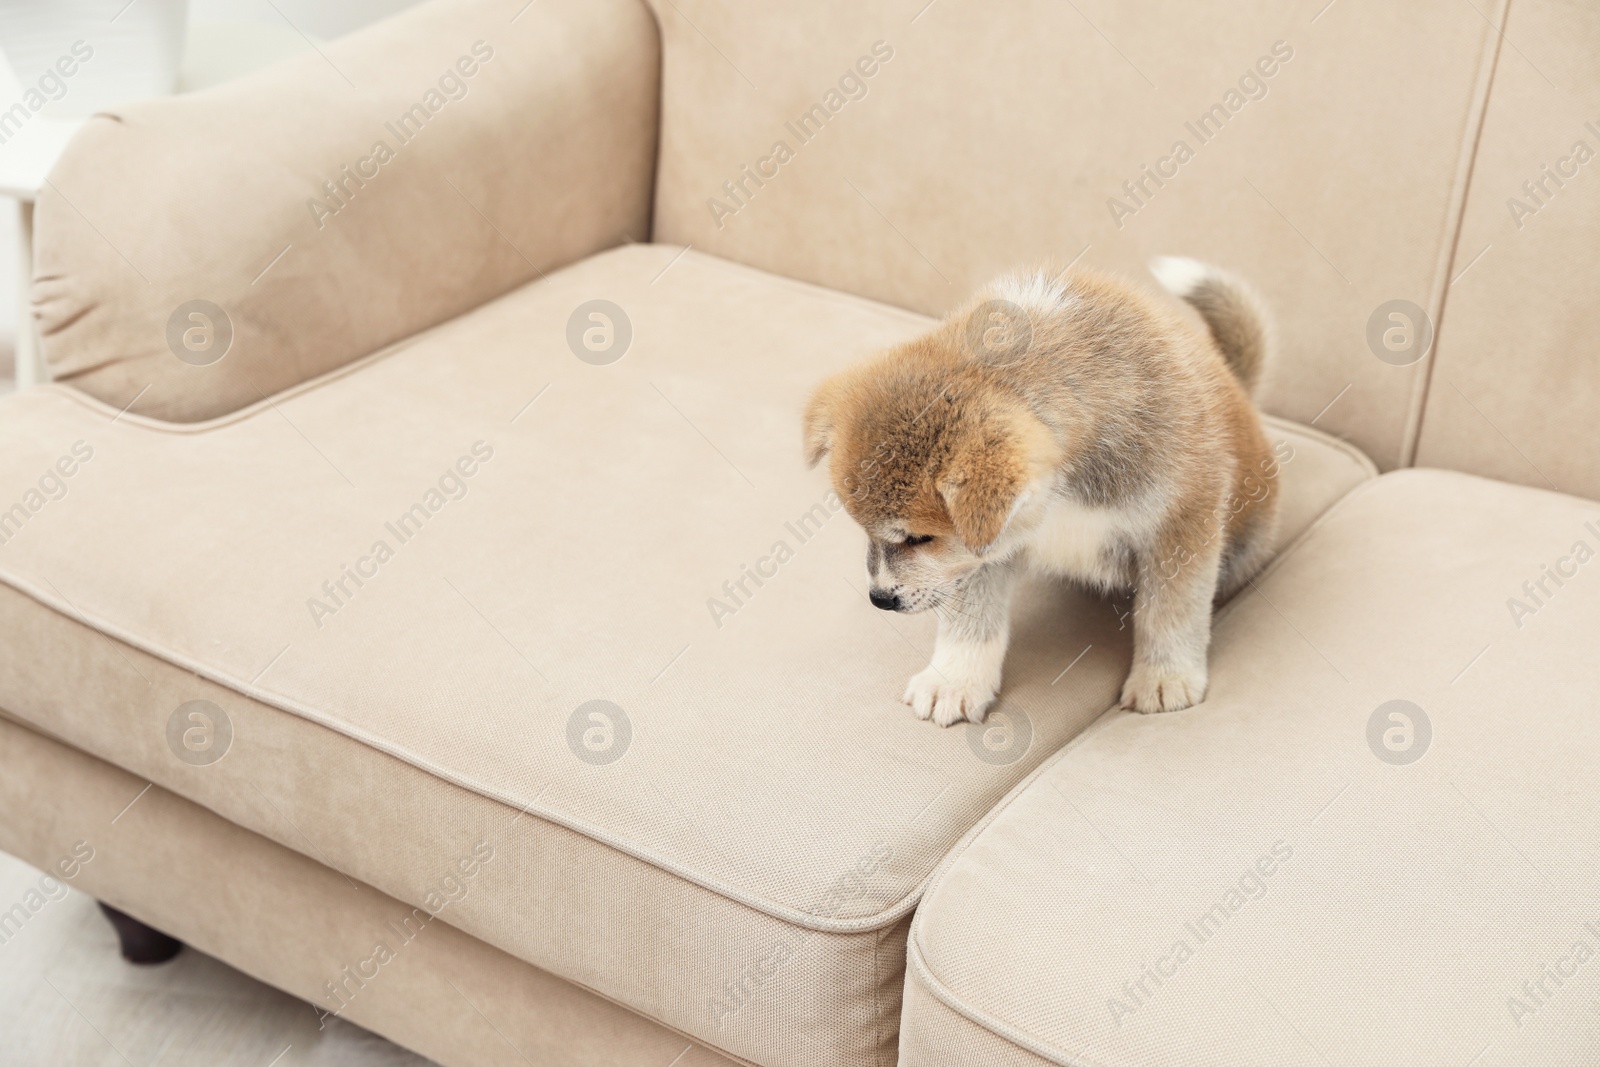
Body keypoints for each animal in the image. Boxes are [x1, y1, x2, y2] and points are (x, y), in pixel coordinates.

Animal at [806, 259, 1280, 726]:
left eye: (920, 538)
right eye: (865, 532)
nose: (880, 599)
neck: (1063, 493)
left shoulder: (1182, 522)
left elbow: (1170, 612)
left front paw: (1166, 678)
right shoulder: (981, 554)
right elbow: (971, 621)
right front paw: (954, 680)